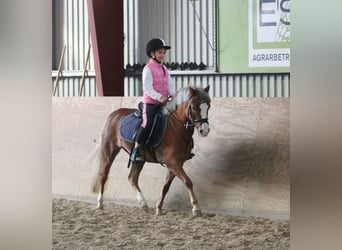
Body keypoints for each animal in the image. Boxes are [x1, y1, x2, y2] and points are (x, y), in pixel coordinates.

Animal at [93, 85, 211, 215]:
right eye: (194, 107)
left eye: (208, 107)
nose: (204, 130)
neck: (176, 128)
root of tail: (114, 114)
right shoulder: (172, 162)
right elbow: (188, 181)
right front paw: (196, 208)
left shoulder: (176, 163)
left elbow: (166, 186)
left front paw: (158, 208)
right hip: (109, 150)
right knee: (103, 174)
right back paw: (100, 203)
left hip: (139, 160)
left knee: (132, 178)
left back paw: (143, 204)